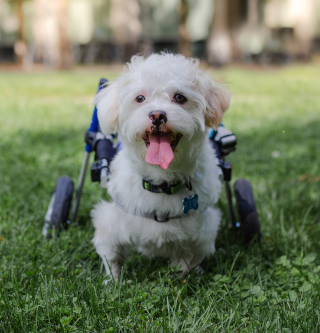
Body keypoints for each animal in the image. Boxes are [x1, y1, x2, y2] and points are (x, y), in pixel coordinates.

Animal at [92, 53, 230, 278]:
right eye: (140, 98)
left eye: (180, 97)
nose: (157, 115)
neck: (162, 181)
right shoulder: (111, 223)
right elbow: (112, 259)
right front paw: (112, 282)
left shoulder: (201, 232)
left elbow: (185, 263)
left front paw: (183, 277)